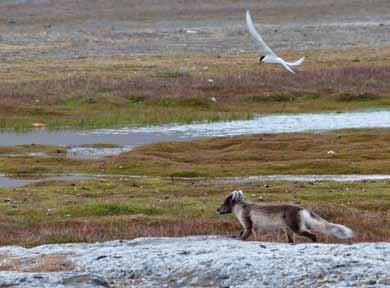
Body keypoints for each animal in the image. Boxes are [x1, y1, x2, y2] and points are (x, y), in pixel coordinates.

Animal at [216, 191, 354, 243]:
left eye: (224, 203)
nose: (217, 210)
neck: (240, 208)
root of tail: (302, 209)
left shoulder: (247, 223)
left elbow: (245, 234)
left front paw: (240, 239)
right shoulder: (245, 226)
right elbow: (240, 232)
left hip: (295, 227)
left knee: (312, 235)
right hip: (288, 229)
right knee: (291, 240)